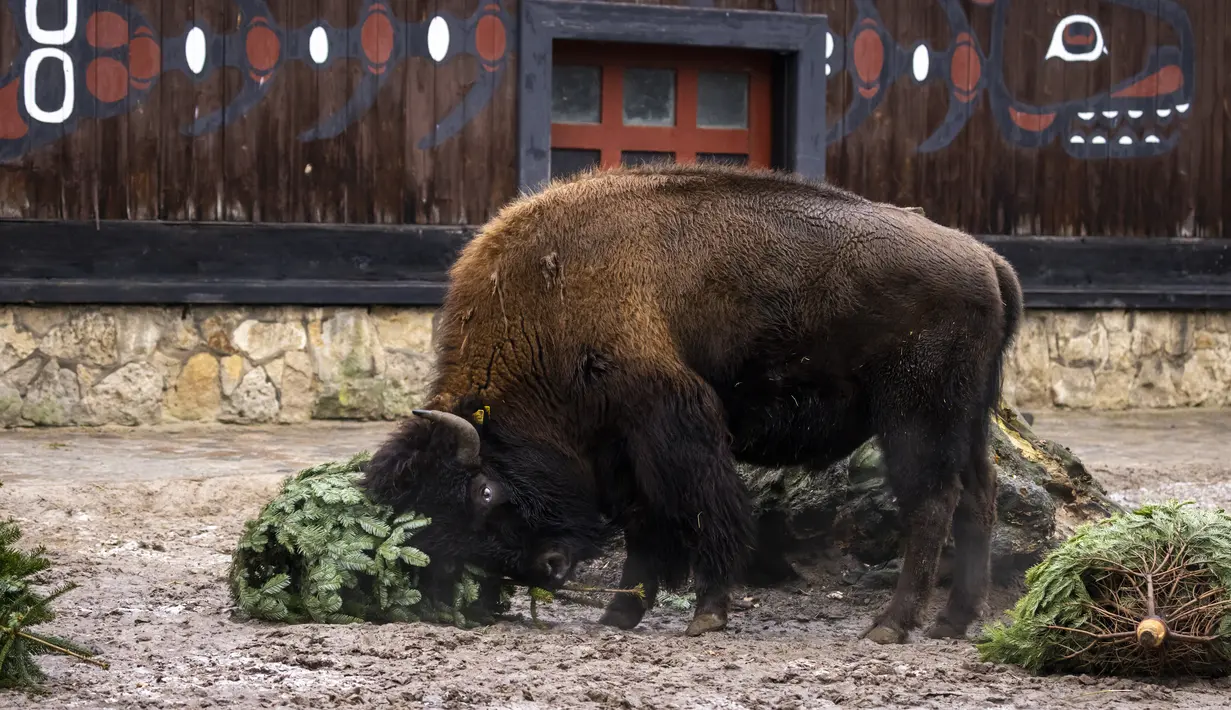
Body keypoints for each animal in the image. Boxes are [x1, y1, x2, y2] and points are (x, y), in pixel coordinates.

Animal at [362, 162, 1023, 643]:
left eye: (484, 490)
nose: (548, 566)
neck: (544, 304)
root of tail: (985, 258)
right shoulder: (621, 448)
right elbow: (644, 527)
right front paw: (618, 616)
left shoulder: (671, 422)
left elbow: (703, 510)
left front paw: (705, 614)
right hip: (968, 420)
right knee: (978, 500)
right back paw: (952, 622)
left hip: (915, 417)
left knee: (931, 504)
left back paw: (890, 626)